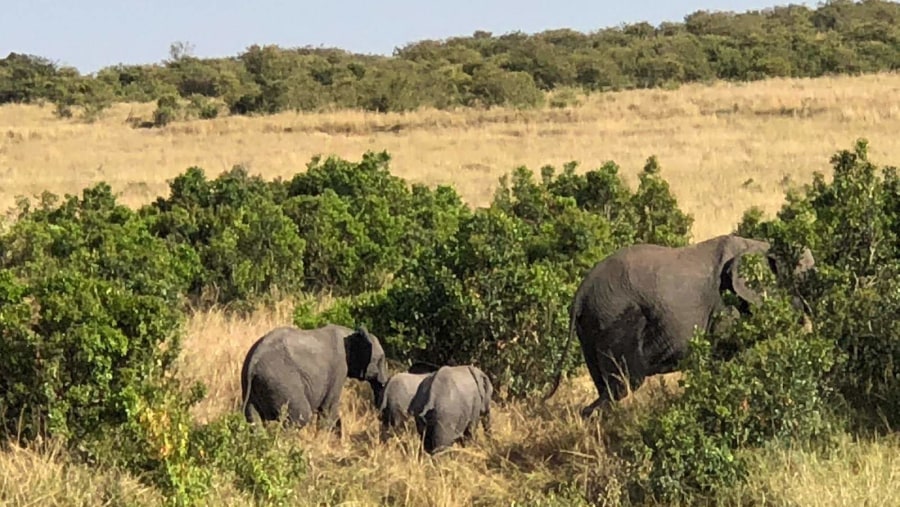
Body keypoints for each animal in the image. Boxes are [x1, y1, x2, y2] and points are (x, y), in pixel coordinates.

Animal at [239, 326, 386, 436]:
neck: (350, 332)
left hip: (255, 384)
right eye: (381, 359)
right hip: (281, 380)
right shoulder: (339, 368)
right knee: (300, 416)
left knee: (254, 419)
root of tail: (254, 360)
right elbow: (328, 408)